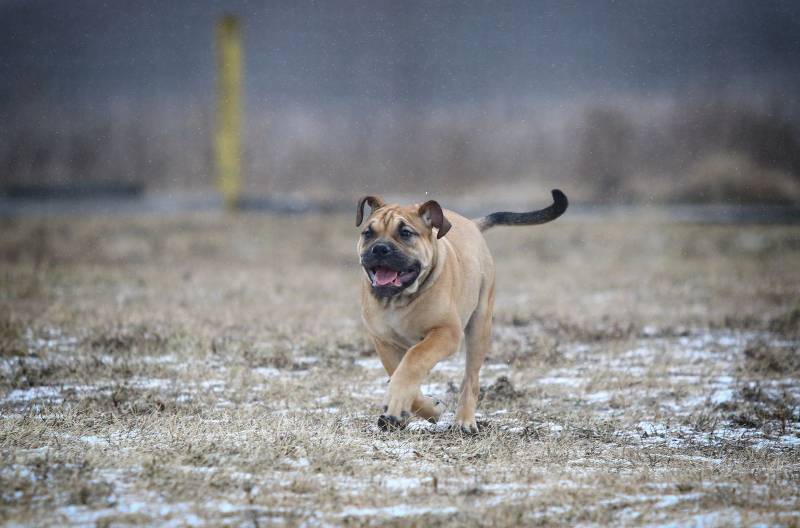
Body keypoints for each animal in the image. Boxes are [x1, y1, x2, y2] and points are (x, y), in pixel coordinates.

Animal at [356, 189, 568, 433]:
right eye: (368, 233)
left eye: (406, 233)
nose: (380, 248)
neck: (400, 299)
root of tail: (472, 224)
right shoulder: (384, 342)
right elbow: (400, 373)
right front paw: (418, 408)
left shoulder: (446, 333)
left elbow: (413, 360)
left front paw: (401, 401)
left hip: (480, 326)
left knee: (471, 379)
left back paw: (465, 421)